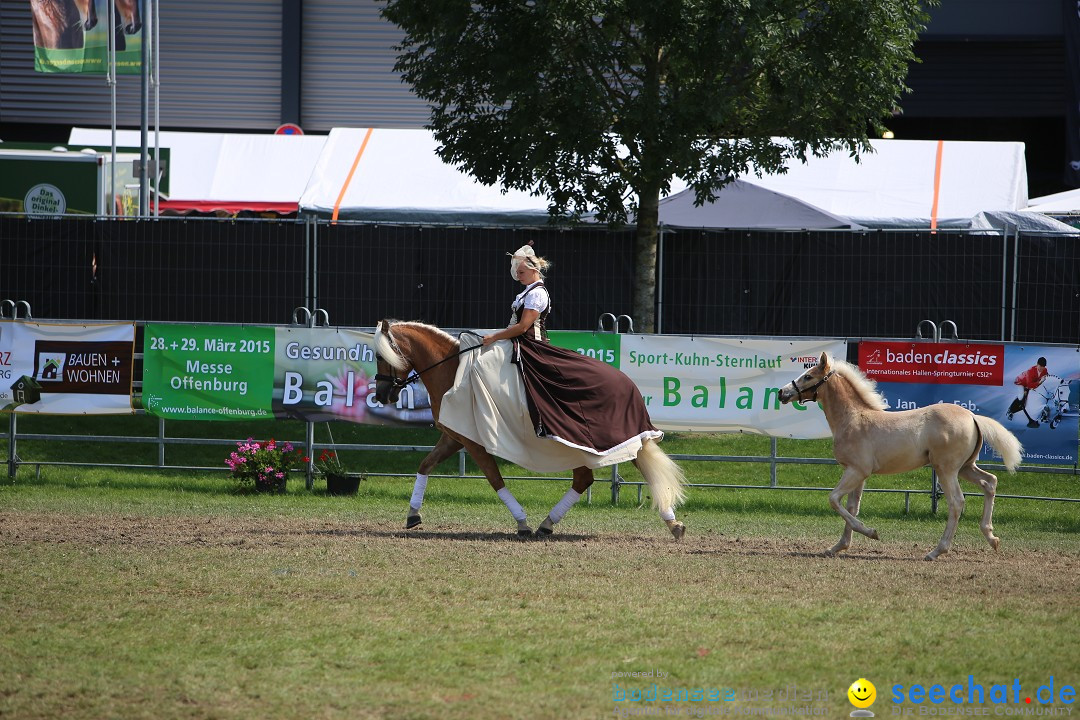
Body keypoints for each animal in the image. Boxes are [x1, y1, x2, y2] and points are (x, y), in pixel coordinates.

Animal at [777, 351, 1019, 561]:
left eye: (808, 376)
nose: (782, 393)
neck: (853, 419)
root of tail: (972, 416)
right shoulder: (858, 474)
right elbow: (853, 506)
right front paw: (838, 547)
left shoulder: (856, 471)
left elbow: (834, 499)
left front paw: (871, 532)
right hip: (966, 467)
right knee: (990, 482)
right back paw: (992, 537)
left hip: (946, 469)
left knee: (957, 502)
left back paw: (936, 551)